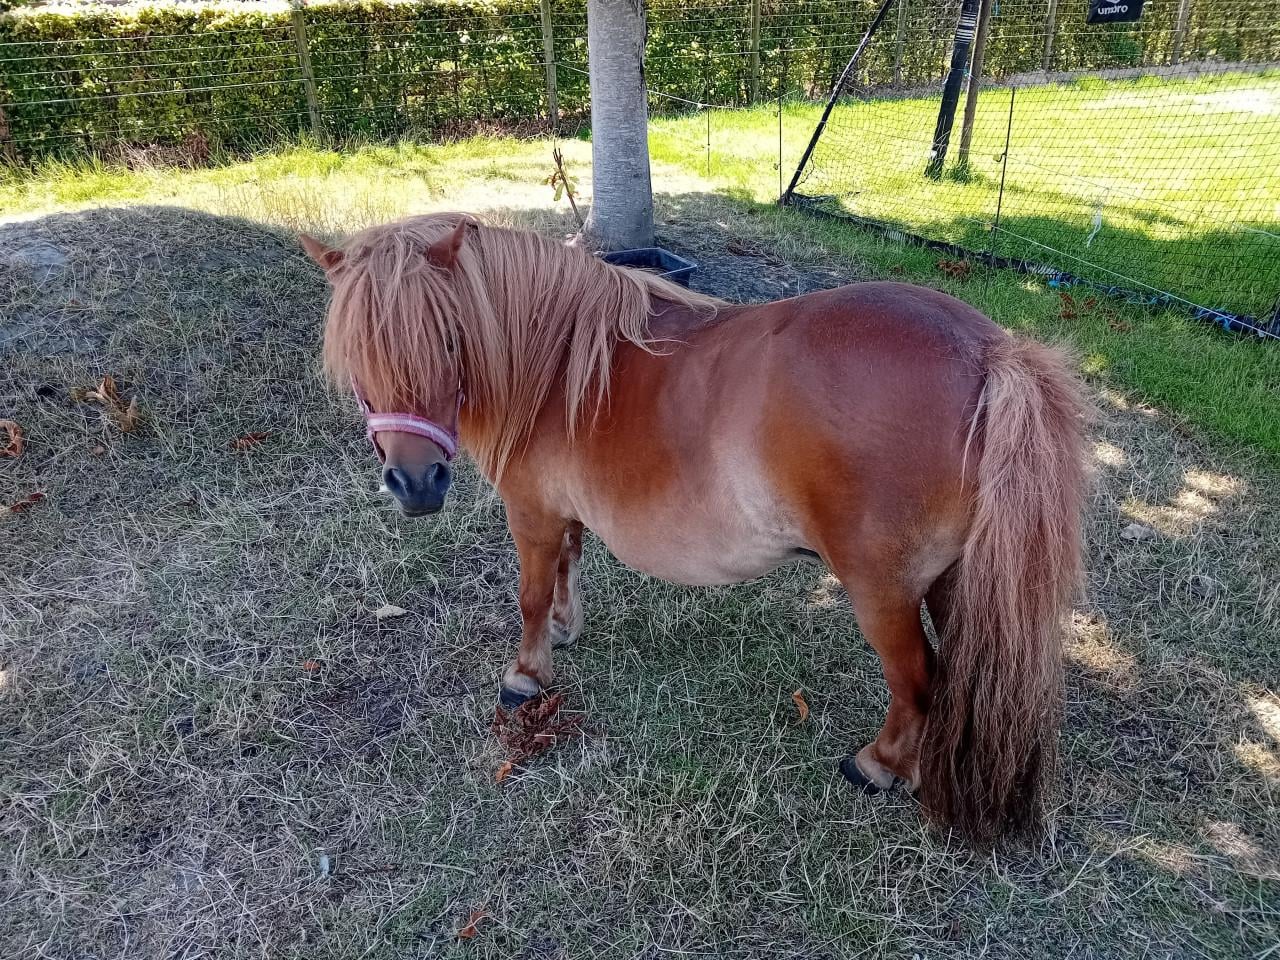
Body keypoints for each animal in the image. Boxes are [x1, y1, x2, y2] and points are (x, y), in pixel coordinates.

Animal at [301, 212, 1089, 845]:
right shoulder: (563, 514)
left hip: (883, 593)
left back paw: (881, 766)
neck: (553, 366)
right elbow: (567, 568)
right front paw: (564, 627)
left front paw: (527, 674)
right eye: (357, 353)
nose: (415, 485)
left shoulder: (530, 513)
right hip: (956, 582)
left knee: (919, 681)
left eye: (446, 337)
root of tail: (991, 354)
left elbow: (529, 593)